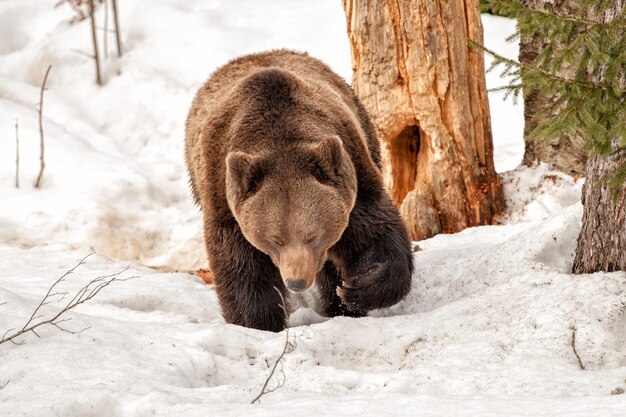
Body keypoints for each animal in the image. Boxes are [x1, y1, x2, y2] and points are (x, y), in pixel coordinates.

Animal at [183, 50, 412, 332]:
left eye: (312, 236)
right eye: (274, 239)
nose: (296, 281)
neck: (280, 140)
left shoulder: (353, 168)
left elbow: (375, 234)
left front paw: (353, 291)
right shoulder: (223, 194)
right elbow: (241, 266)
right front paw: (258, 321)